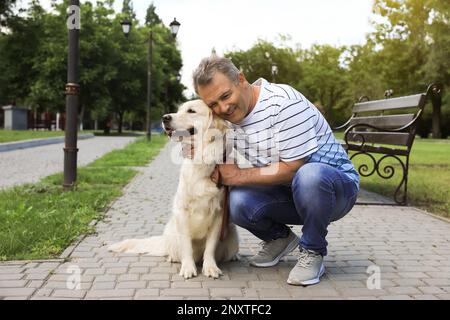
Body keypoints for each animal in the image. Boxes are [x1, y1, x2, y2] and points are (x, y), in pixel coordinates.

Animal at [107, 100, 239, 278]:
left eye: (191, 111)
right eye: (179, 110)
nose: (165, 117)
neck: (201, 160)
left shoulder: (219, 213)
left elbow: (210, 246)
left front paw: (210, 267)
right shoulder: (182, 211)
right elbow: (186, 245)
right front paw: (188, 268)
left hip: (232, 232)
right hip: (171, 230)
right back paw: (174, 258)